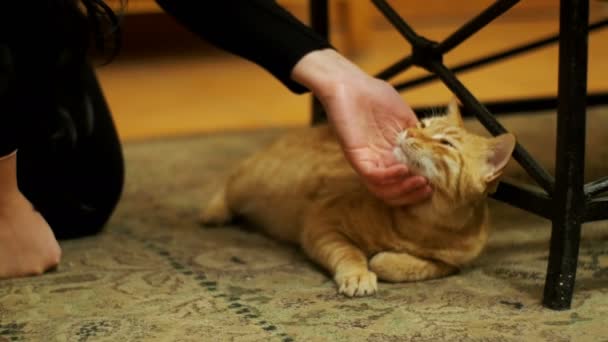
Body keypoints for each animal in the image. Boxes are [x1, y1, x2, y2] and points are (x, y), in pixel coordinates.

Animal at [202, 99, 516, 296]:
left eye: (445, 143)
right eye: (423, 124)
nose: (409, 131)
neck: (421, 222)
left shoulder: (452, 264)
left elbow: (413, 266)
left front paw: (385, 260)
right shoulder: (322, 225)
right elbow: (349, 252)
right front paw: (359, 274)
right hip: (251, 181)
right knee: (227, 183)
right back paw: (213, 211)